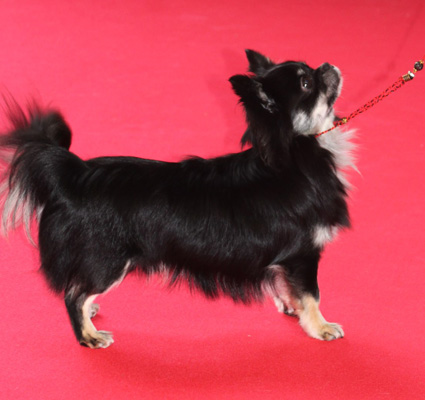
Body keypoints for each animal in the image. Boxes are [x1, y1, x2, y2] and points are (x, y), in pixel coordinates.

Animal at [0, 50, 355, 348]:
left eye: (311, 69)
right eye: (307, 83)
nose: (326, 65)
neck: (299, 150)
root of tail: (75, 174)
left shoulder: (286, 260)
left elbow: (288, 288)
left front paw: (293, 309)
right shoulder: (302, 254)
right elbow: (312, 294)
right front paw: (320, 327)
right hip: (108, 260)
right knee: (73, 296)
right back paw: (88, 336)